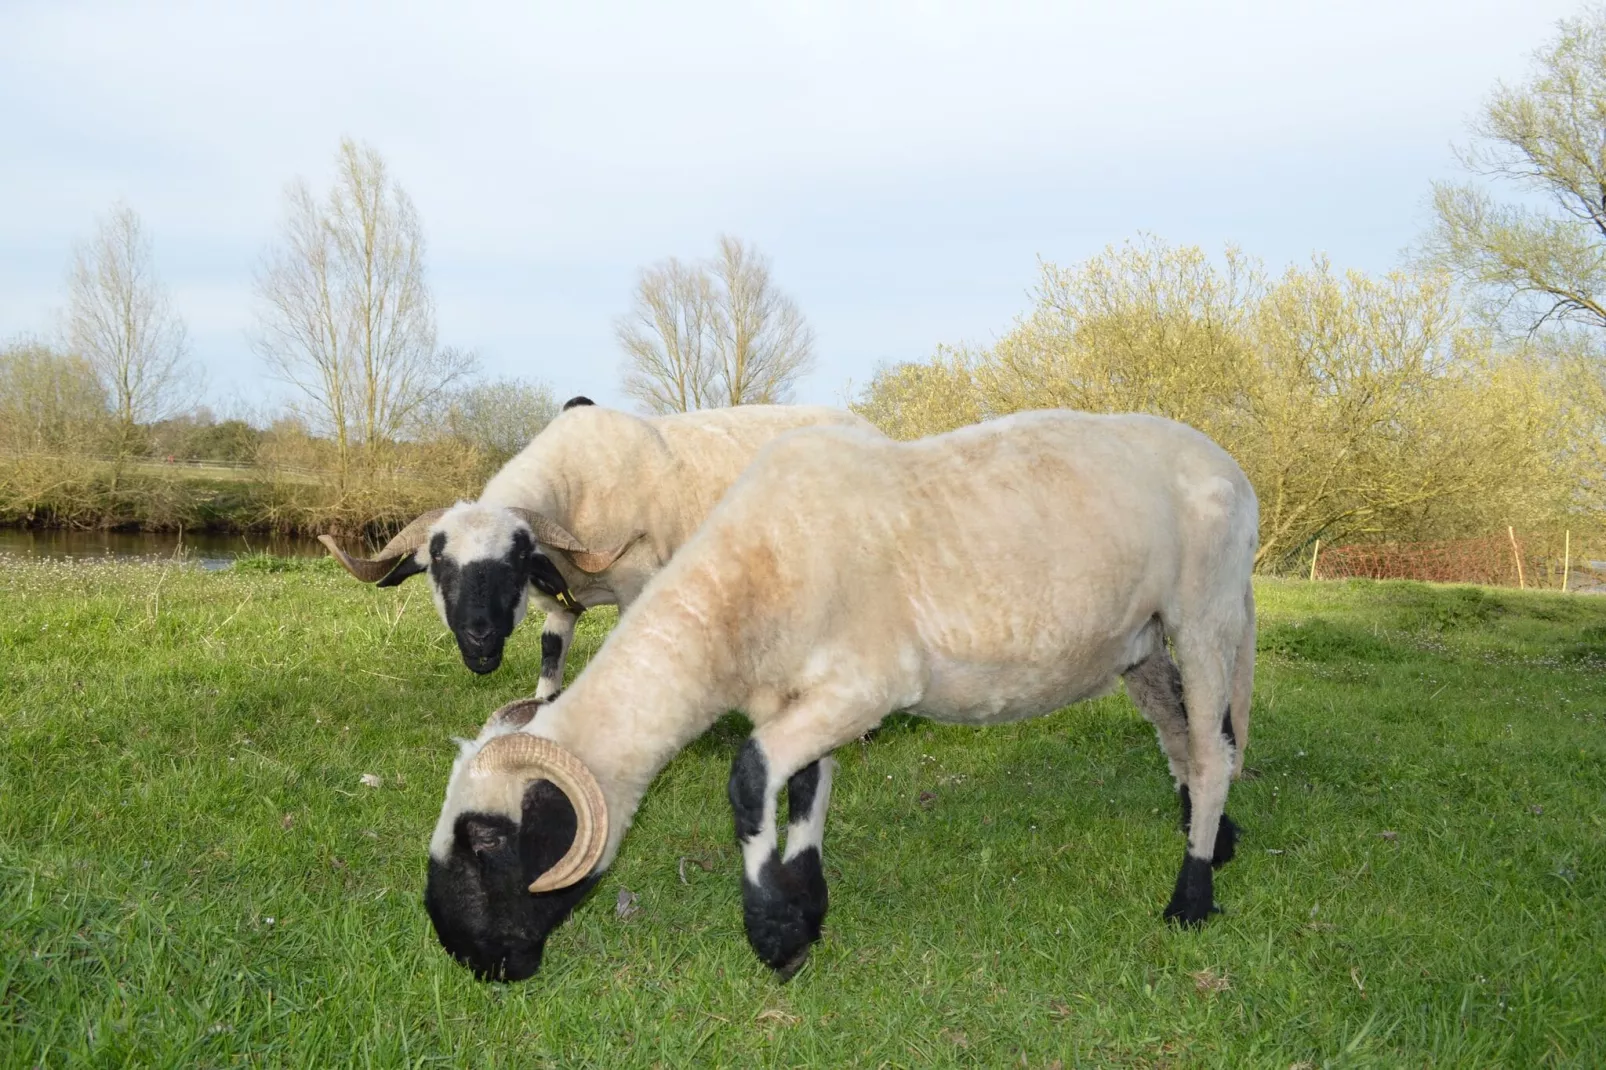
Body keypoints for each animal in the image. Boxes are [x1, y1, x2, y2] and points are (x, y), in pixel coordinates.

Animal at [322, 400, 880, 690]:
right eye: (438, 561)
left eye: (516, 559)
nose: (479, 640)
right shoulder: (560, 605)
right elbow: (550, 660)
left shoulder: (637, 583)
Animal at [420, 408, 1259, 976]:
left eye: (488, 838)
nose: (464, 955)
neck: (740, 588)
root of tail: (1233, 466)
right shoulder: (798, 694)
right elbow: (800, 793)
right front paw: (807, 907)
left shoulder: (868, 685)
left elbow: (750, 777)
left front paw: (774, 935)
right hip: (1141, 639)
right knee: (1187, 734)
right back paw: (1213, 840)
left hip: (1206, 608)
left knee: (1214, 751)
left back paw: (1191, 897)